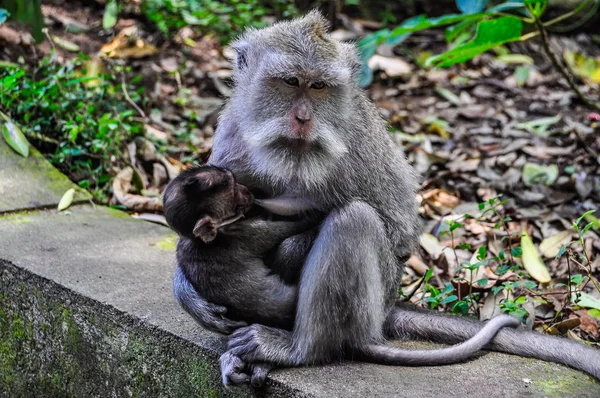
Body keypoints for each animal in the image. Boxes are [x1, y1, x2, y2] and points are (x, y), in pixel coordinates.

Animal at [164, 165, 314, 330]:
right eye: (233, 188)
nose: (247, 190)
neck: (197, 240)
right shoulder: (246, 234)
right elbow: (286, 229)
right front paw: (313, 216)